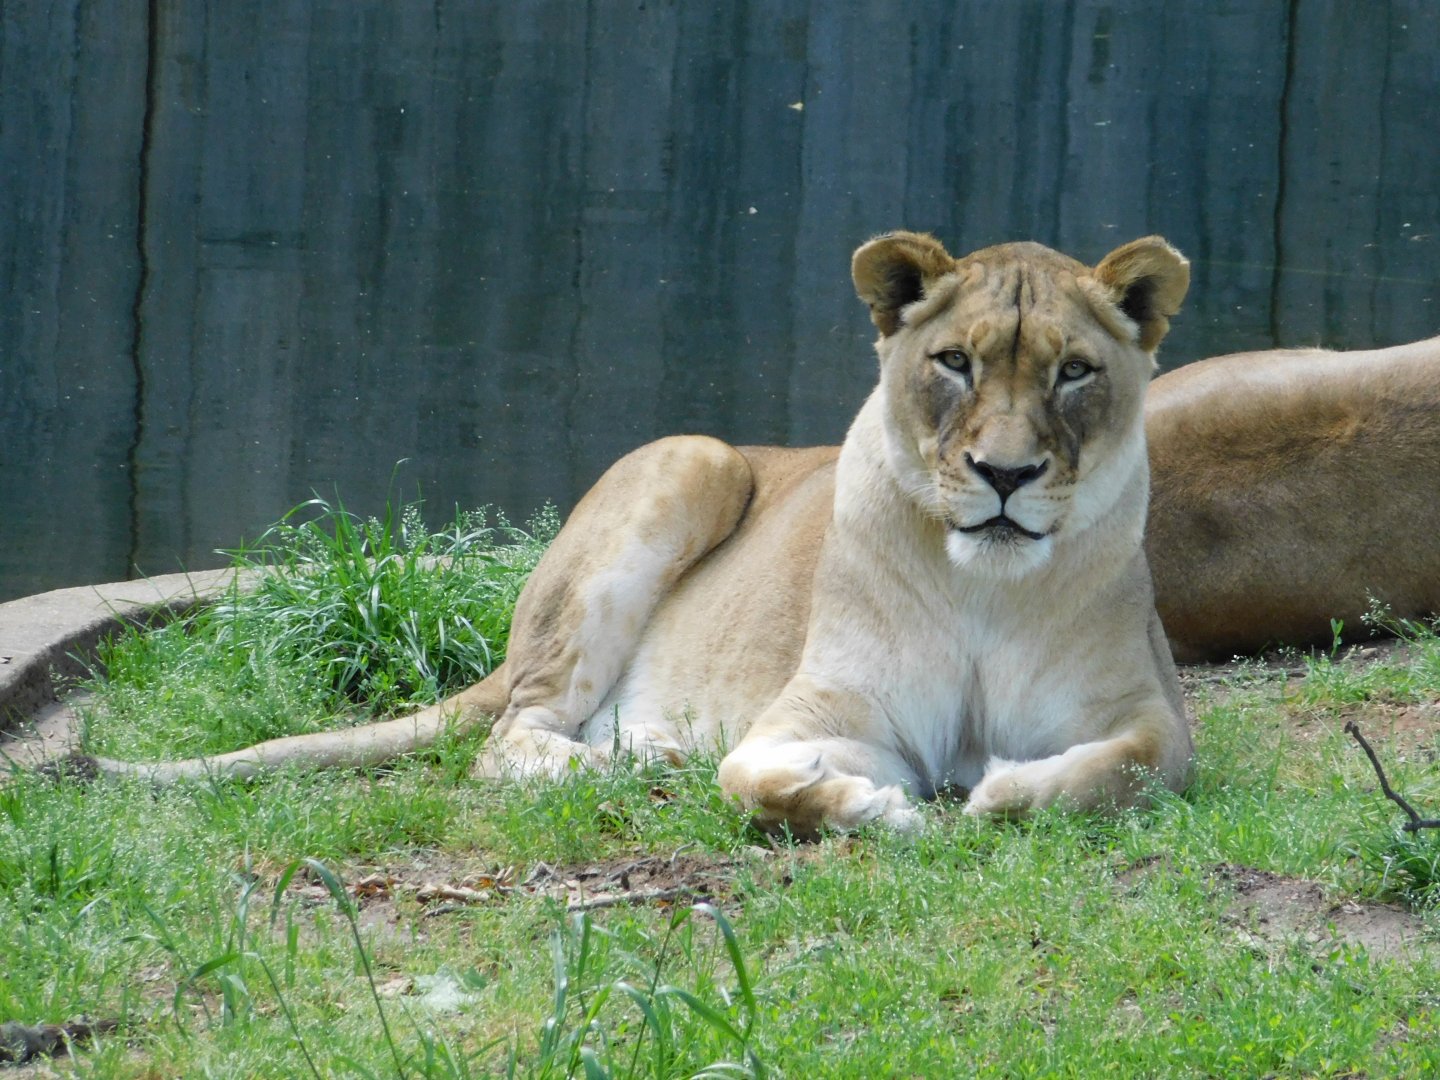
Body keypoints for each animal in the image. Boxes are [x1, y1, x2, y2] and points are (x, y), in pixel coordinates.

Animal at [71, 232, 1195, 832]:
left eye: (1074, 372)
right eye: (955, 362)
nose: (1004, 475)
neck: (983, 587)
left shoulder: (1152, 714)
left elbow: (1110, 770)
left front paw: (997, 787)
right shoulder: (826, 711)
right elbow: (752, 776)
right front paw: (873, 806)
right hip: (693, 458)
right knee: (512, 739)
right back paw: (642, 756)